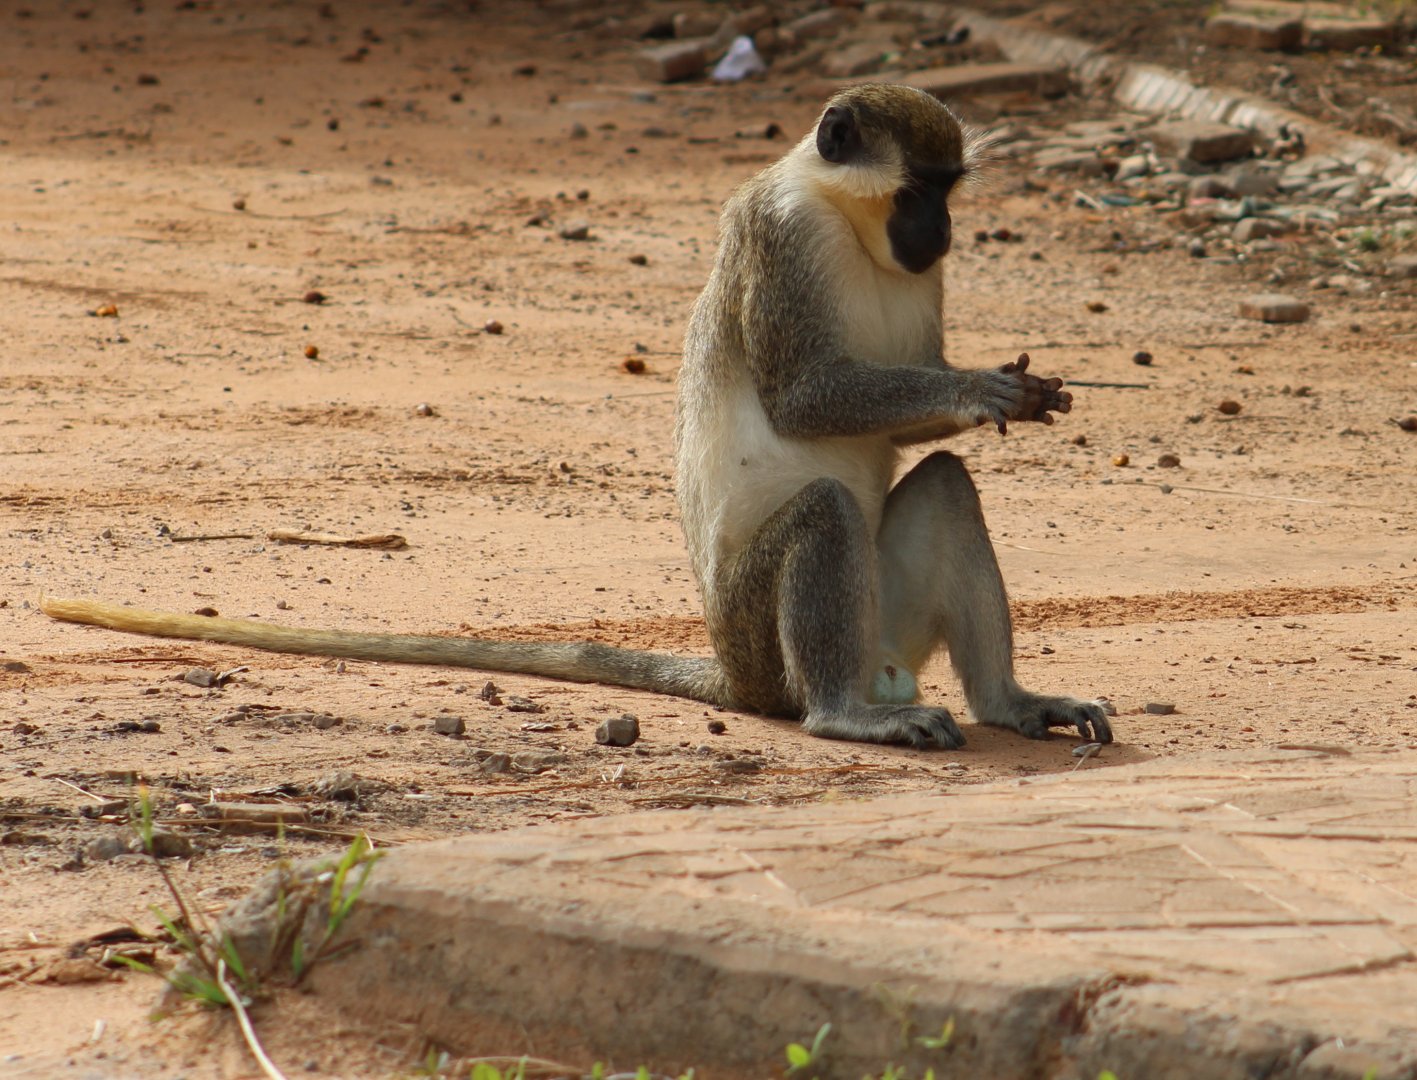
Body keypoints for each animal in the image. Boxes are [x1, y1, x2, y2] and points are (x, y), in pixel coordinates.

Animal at [42, 83, 1110, 751]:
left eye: (950, 189)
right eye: (918, 188)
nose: (943, 231)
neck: (847, 223)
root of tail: (734, 674)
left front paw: (1009, 394)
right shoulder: (780, 236)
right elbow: (804, 400)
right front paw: (982, 389)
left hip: (883, 616)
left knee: (948, 487)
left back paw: (1011, 703)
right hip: (768, 640)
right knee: (822, 515)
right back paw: (847, 713)